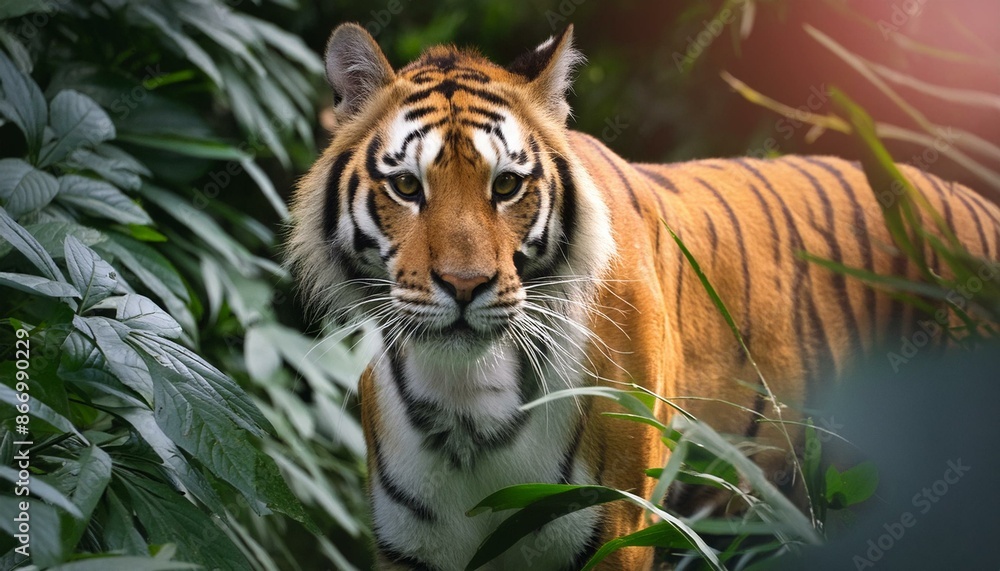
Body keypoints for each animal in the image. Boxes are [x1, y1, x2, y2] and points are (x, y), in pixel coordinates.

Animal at [287, 22, 1000, 571]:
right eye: (407, 187)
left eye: (507, 185)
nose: (466, 286)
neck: (468, 401)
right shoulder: (411, 549)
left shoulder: (619, 531)